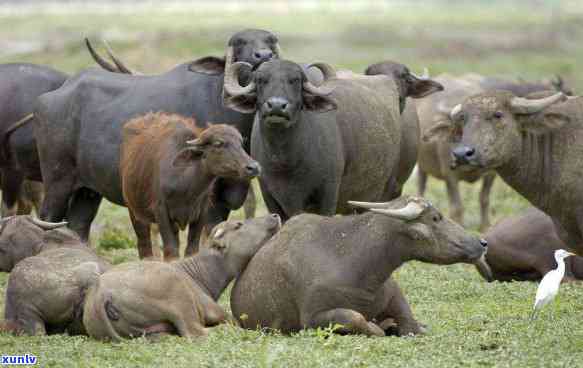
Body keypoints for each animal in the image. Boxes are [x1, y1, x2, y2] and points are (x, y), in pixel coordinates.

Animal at [33, 28, 280, 244]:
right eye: (238, 42)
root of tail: (49, 98)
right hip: (58, 181)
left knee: (78, 226)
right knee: (47, 219)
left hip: (88, 190)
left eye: (271, 42)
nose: (263, 56)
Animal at [83, 214, 282, 340]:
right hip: (180, 298)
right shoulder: (212, 309)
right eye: (238, 225)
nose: (274, 215)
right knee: (195, 332)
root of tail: (101, 293)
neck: (197, 272)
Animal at [121, 113, 260, 260]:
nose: (253, 167)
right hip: (134, 211)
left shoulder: (202, 212)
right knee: (144, 246)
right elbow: (171, 251)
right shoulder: (160, 211)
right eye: (218, 143)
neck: (185, 188)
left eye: (241, 143)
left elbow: (191, 249)